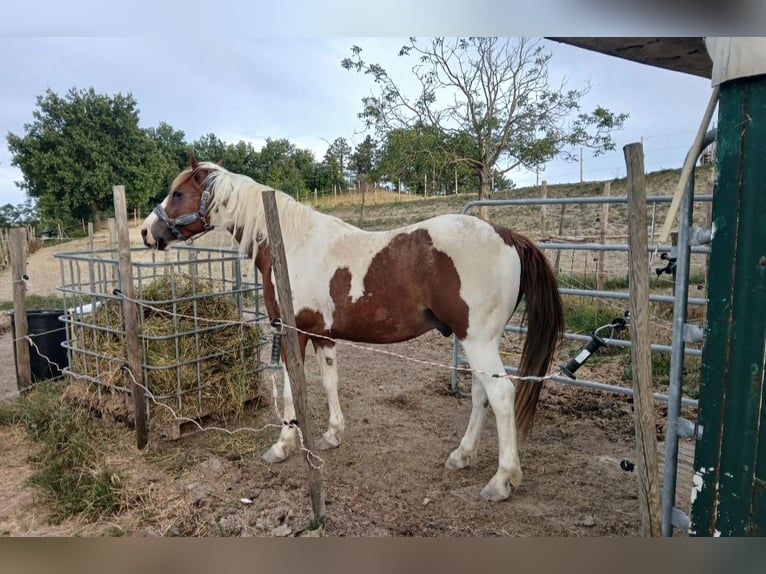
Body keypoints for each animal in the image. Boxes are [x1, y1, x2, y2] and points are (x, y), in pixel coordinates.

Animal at [141, 158, 564, 501]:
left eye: (178, 192)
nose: (147, 232)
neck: (290, 243)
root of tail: (508, 235)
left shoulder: (293, 332)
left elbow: (293, 390)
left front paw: (282, 446)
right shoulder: (323, 335)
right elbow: (330, 382)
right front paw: (332, 435)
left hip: (478, 341)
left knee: (501, 396)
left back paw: (502, 481)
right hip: (475, 341)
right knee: (481, 394)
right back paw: (462, 455)